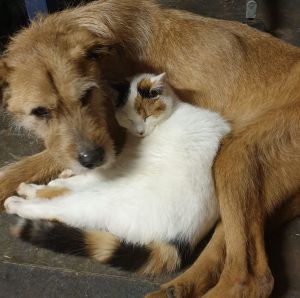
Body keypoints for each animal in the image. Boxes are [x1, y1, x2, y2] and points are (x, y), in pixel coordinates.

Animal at [4, 73, 230, 274]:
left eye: (146, 116)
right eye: (129, 119)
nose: (140, 131)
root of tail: (182, 241)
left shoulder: (121, 165)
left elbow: (88, 176)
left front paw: (60, 180)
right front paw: (66, 173)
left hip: (96, 201)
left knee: (55, 208)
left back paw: (19, 200)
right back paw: (31, 188)